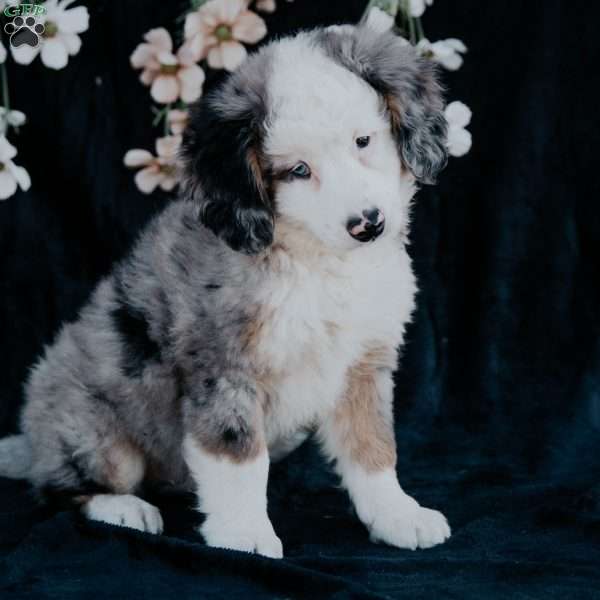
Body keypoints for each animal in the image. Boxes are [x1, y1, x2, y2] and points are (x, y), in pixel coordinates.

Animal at [0, 22, 450, 556]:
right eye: (298, 170)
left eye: (363, 140)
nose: (368, 224)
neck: (318, 264)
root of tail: (32, 437)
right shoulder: (225, 368)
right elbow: (239, 458)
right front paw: (244, 534)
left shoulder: (363, 364)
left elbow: (374, 447)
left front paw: (398, 515)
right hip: (95, 434)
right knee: (60, 488)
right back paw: (123, 508)